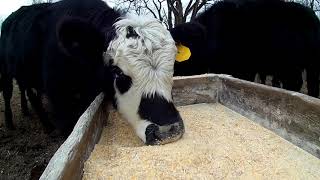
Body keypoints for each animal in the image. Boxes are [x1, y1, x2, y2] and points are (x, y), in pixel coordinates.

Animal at [0, 0, 185, 145]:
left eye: (173, 66)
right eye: (117, 71)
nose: (168, 130)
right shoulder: (61, 102)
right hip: (6, 71)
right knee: (12, 93)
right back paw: (18, 123)